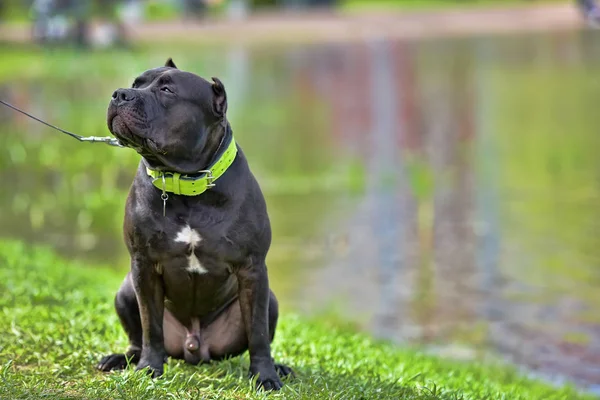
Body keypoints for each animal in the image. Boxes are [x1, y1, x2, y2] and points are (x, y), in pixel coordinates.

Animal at [96, 57, 292, 390]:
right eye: (136, 84)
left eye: (167, 90)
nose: (120, 94)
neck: (185, 184)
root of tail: (194, 346)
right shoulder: (143, 265)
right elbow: (150, 327)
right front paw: (149, 368)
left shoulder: (252, 268)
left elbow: (258, 333)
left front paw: (265, 376)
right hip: (125, 290)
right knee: (137, 338)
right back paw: (121, 359)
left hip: (271, 301)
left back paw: (279, 367)